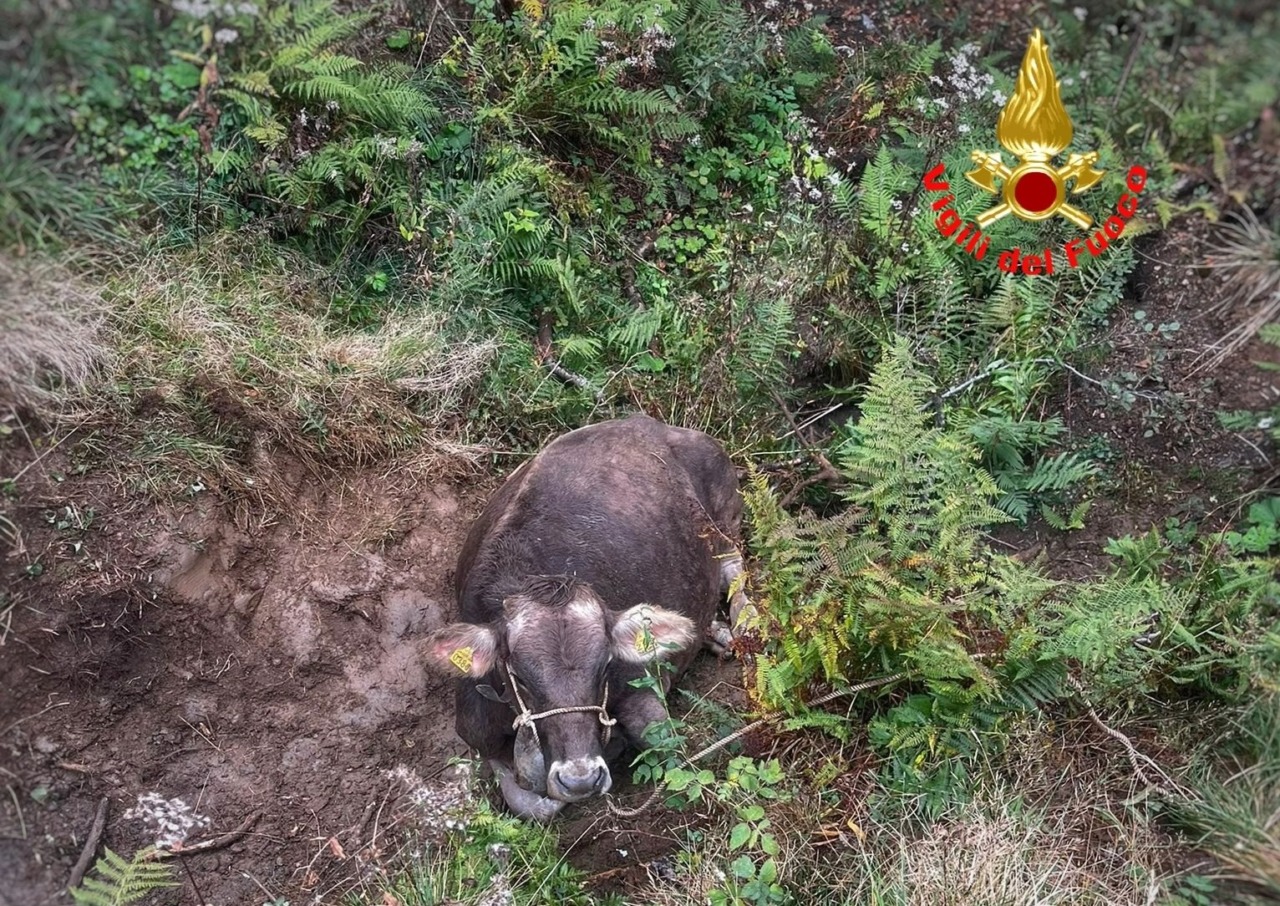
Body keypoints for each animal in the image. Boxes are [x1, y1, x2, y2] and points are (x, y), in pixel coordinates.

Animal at [421, 415, 751, 820]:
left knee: (733, 566)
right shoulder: (474, 725)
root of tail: (647, 422)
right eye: (519, 677)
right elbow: (529, 800)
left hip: (724, 513)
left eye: (605, 665)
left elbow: (667, 748)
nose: (580, 779)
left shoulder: (644, 692)